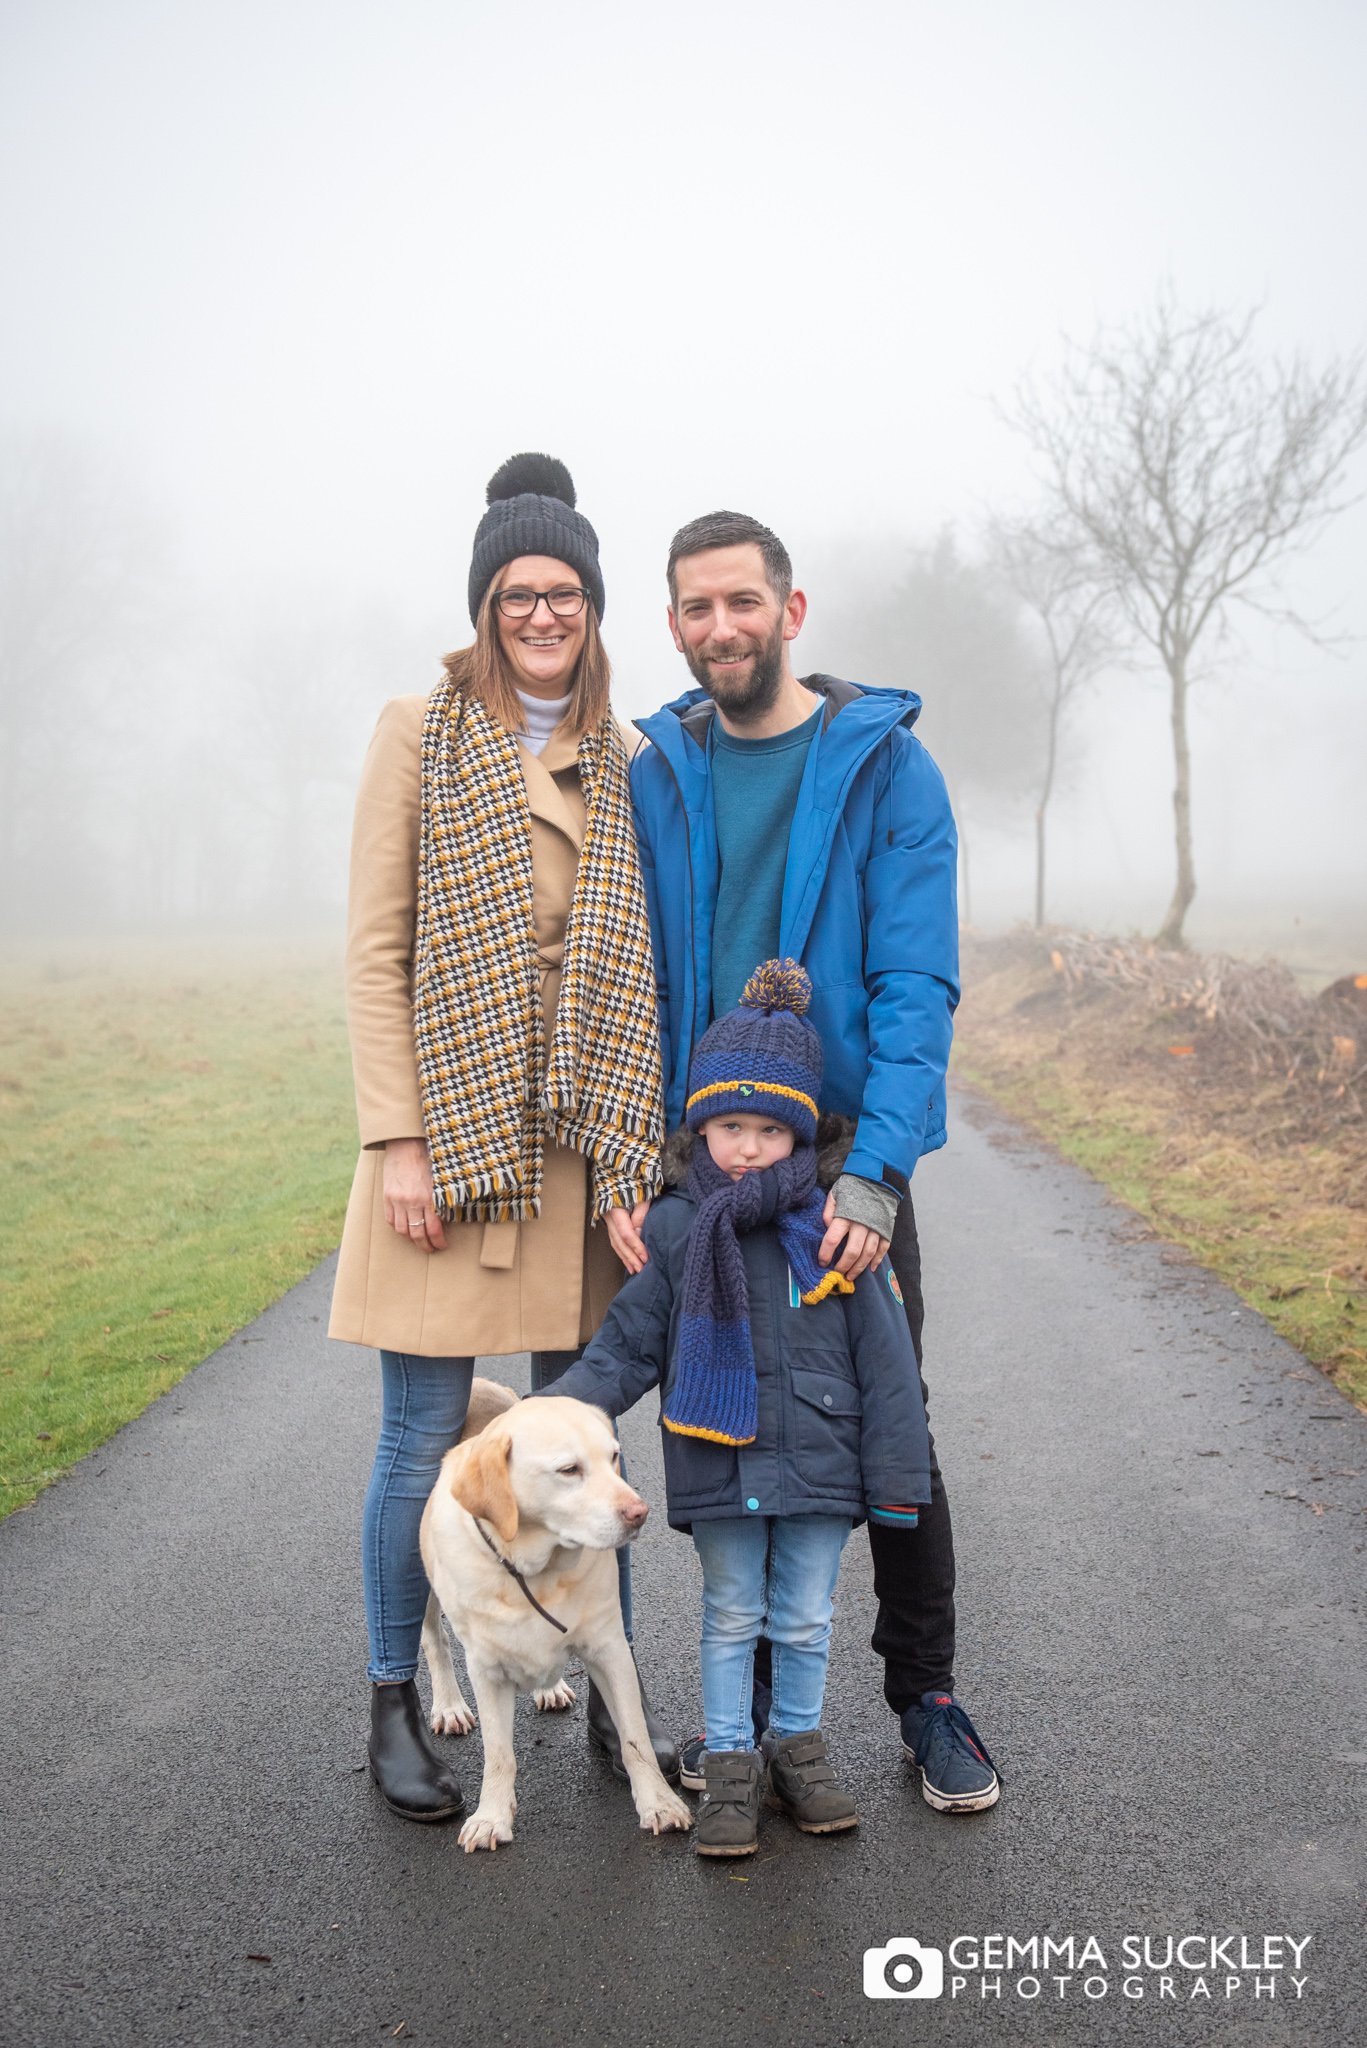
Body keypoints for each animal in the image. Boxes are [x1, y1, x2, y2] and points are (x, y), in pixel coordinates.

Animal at [418, 1384, 696, 1851]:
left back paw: (549, 1688)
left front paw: (658, 1803)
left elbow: (635, 1739)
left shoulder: (610, 1649)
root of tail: (481, 1383)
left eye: (614, 1457)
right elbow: (499, 1755)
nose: (640, 1512)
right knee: (434, 1640)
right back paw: (449, 1705)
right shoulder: (486, 1669)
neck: (534, 1571)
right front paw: (491, 1817)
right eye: (568, 1469)